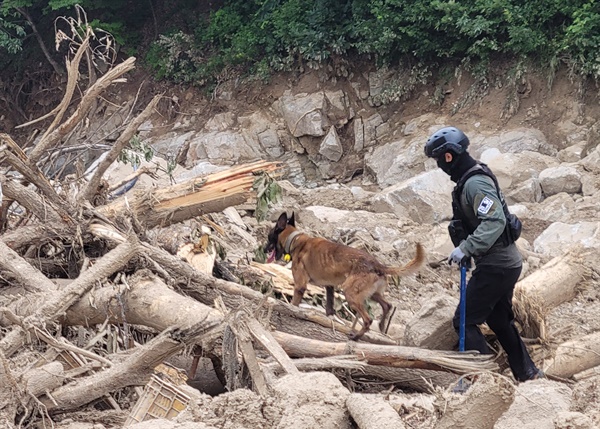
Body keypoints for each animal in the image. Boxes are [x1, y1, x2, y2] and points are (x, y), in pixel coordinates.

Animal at [264, 210, 426, 338]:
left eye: (269, 236)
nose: (264, 249)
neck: (295, 240)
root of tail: (377, 264)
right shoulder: (329, 286)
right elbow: (329, 308)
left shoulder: (300, 286)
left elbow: (294, 304)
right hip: (371, 293)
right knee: (387, 305)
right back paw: (381, 326)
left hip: (351, 293)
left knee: (368, 319)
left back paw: (356, 336)